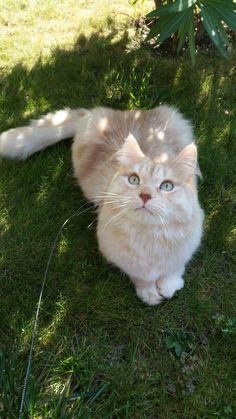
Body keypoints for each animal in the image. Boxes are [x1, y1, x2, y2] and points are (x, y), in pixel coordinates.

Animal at [0, 106, 204, 306]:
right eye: (134, 180)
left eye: (167, 186)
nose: (145, 195)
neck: (149, 237)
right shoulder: (119, 256)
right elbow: (141, 277)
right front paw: (150, 294)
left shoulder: (188, 243)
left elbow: (175, 267)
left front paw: (169, 286)